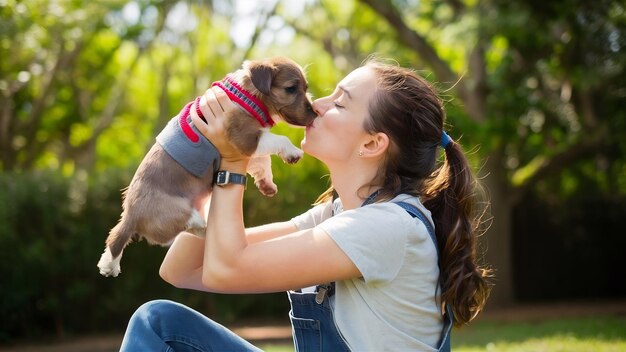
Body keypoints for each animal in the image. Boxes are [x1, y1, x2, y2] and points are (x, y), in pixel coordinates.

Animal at [98, 57, 316, 278]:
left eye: (306, 88)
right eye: (291, 89)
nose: (315, 113)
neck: (247, 95)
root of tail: (131, 215)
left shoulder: (249, 146)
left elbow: (264, 161)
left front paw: (267, 184)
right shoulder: (245, 138)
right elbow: (279, 140)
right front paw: (292, 151)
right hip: (178, 210)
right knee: (187, 225)